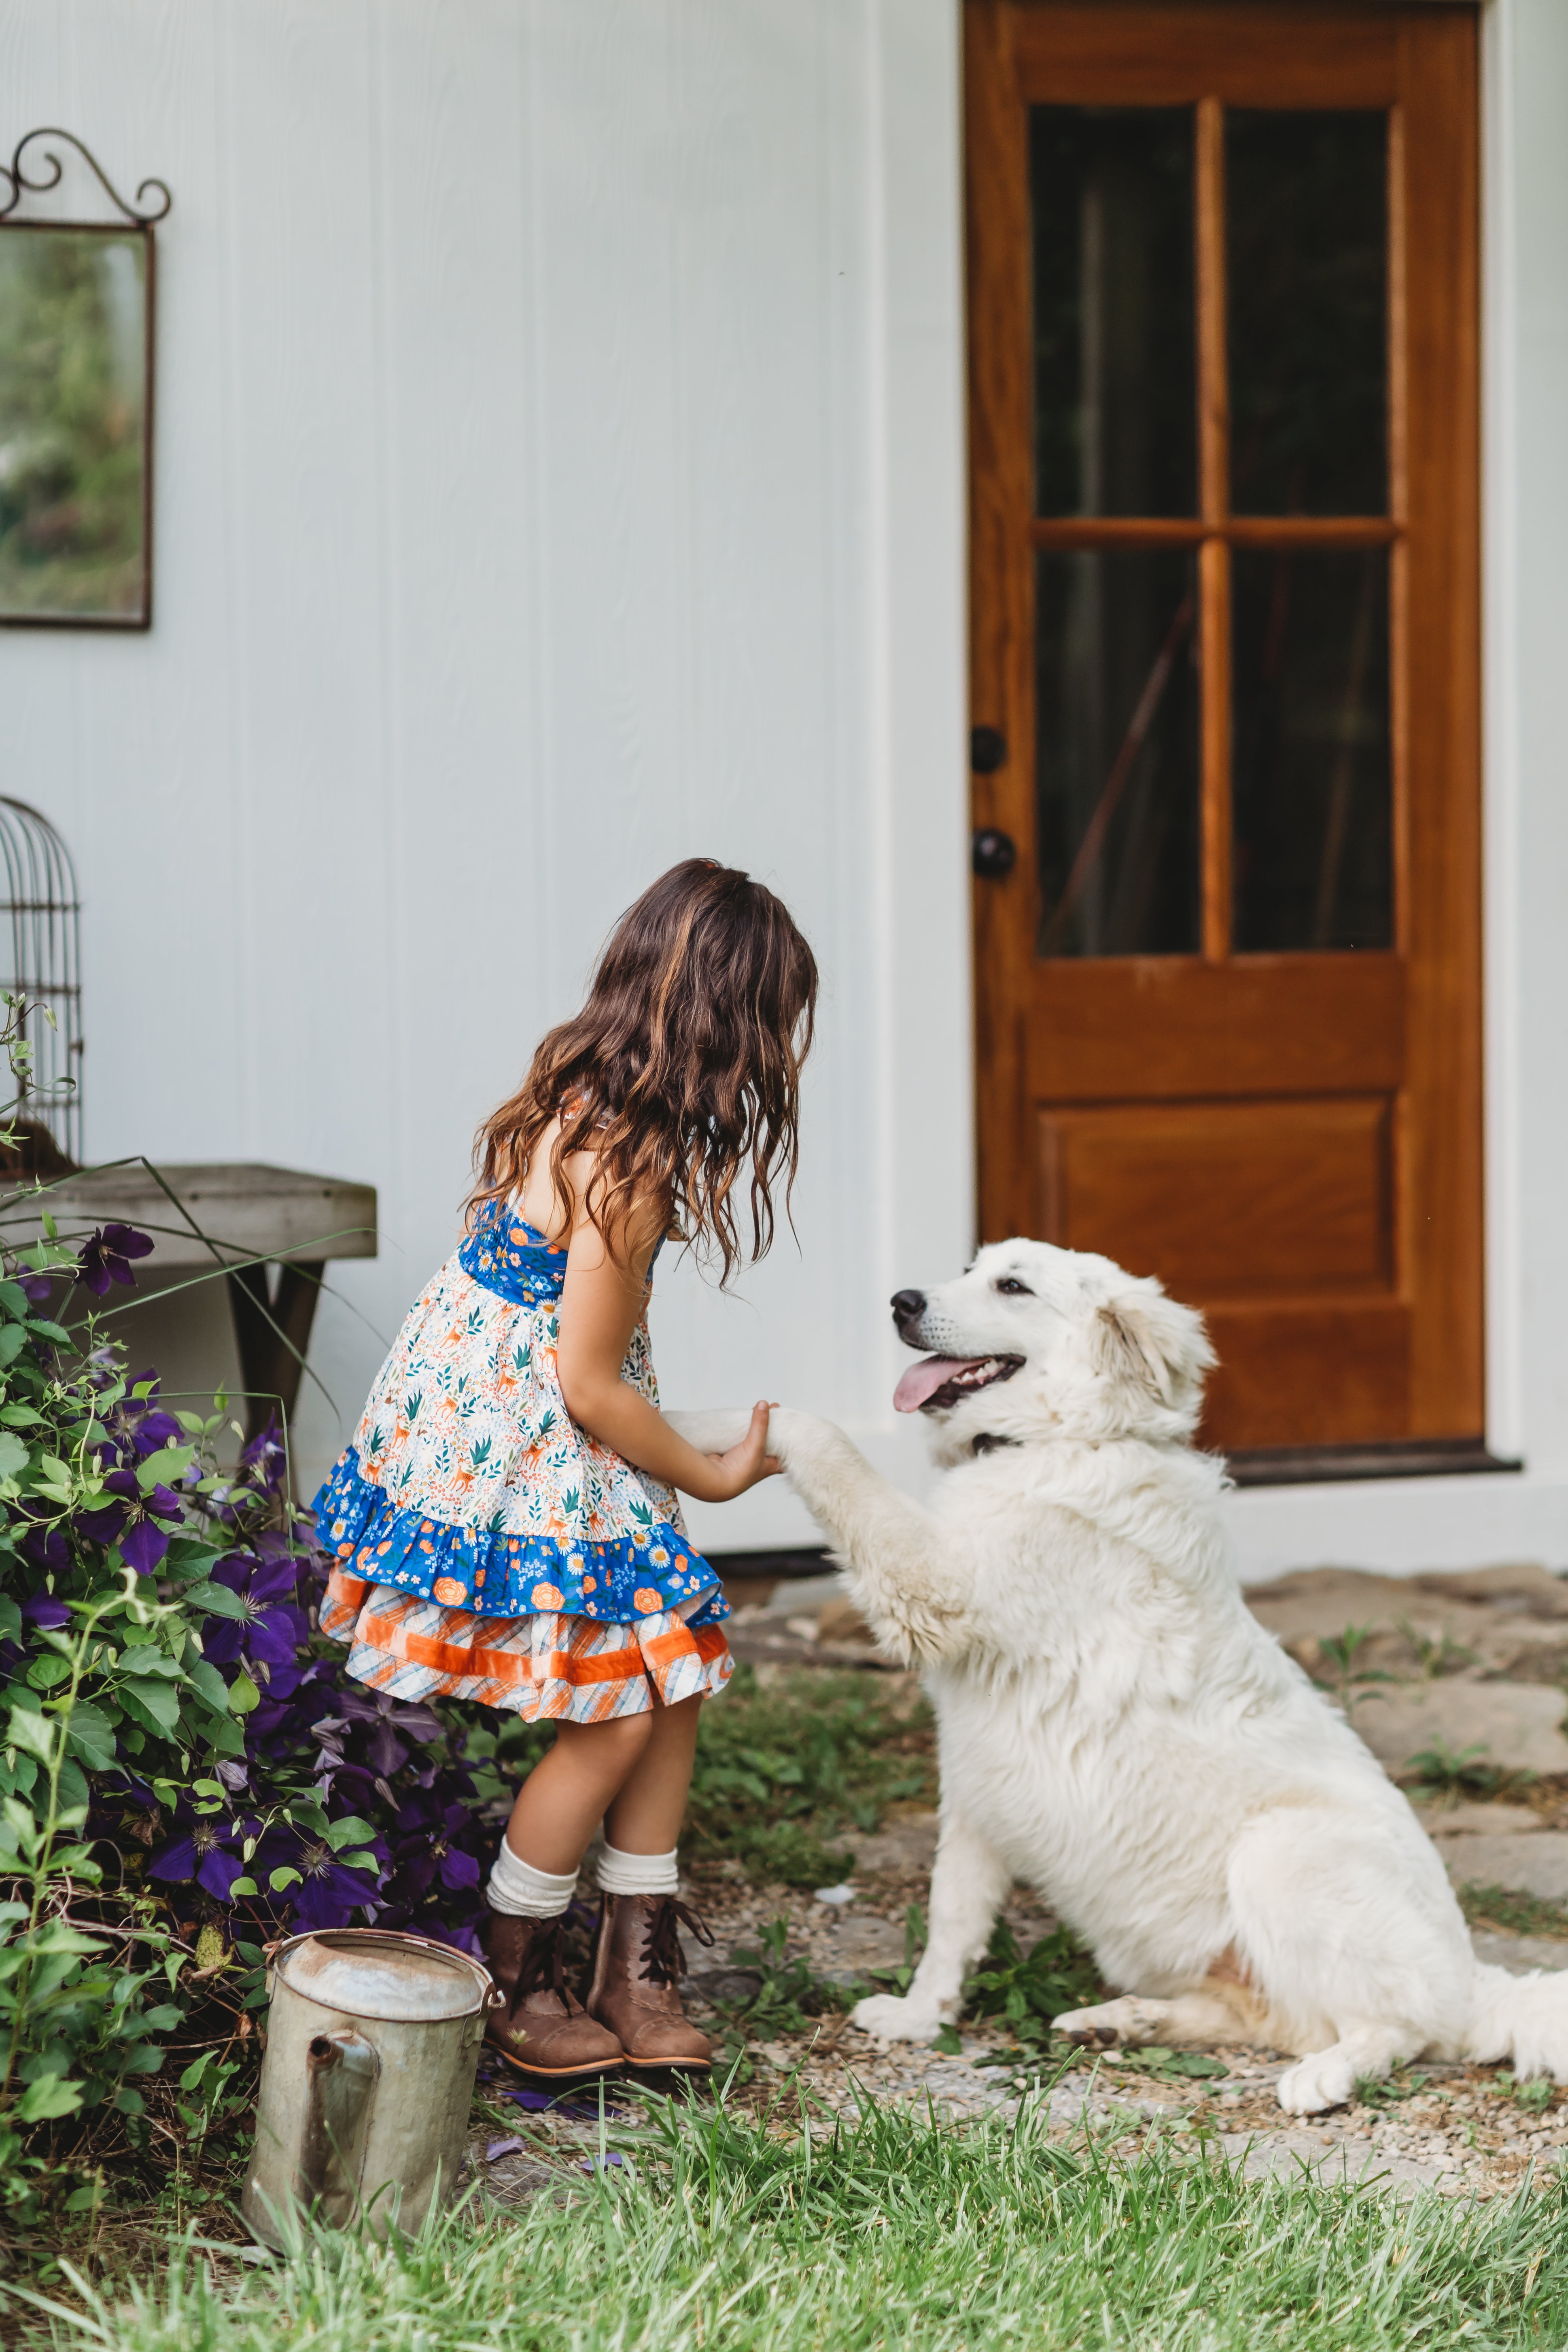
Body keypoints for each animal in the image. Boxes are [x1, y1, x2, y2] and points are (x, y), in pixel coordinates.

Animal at [677, 1242, 1568, 2126]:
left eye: (1012, 1285)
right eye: (969, 1270)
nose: (901, 1301)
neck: (1061, 1437)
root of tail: (1477, 1984)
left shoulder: (932, 1580)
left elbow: (820, 1432)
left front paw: (694, 1421)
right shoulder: (975, 1789)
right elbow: (951, 1922)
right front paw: (919, 2018)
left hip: (1279, 1856)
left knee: (1400, 2028)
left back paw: (1325, 2076)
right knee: (1262, 2019)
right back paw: (1118, 2021)